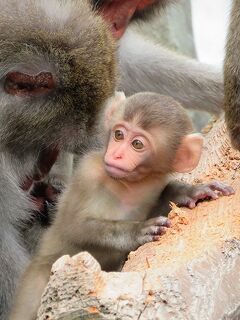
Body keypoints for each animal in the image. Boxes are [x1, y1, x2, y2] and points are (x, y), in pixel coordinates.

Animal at [10, 92, 233, 320]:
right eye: (118, 134)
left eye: (137, 144)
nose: (116, 154)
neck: (127, 185)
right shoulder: (88, 173)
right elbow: (74, 227)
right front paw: (139, 230)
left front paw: (191, 191)